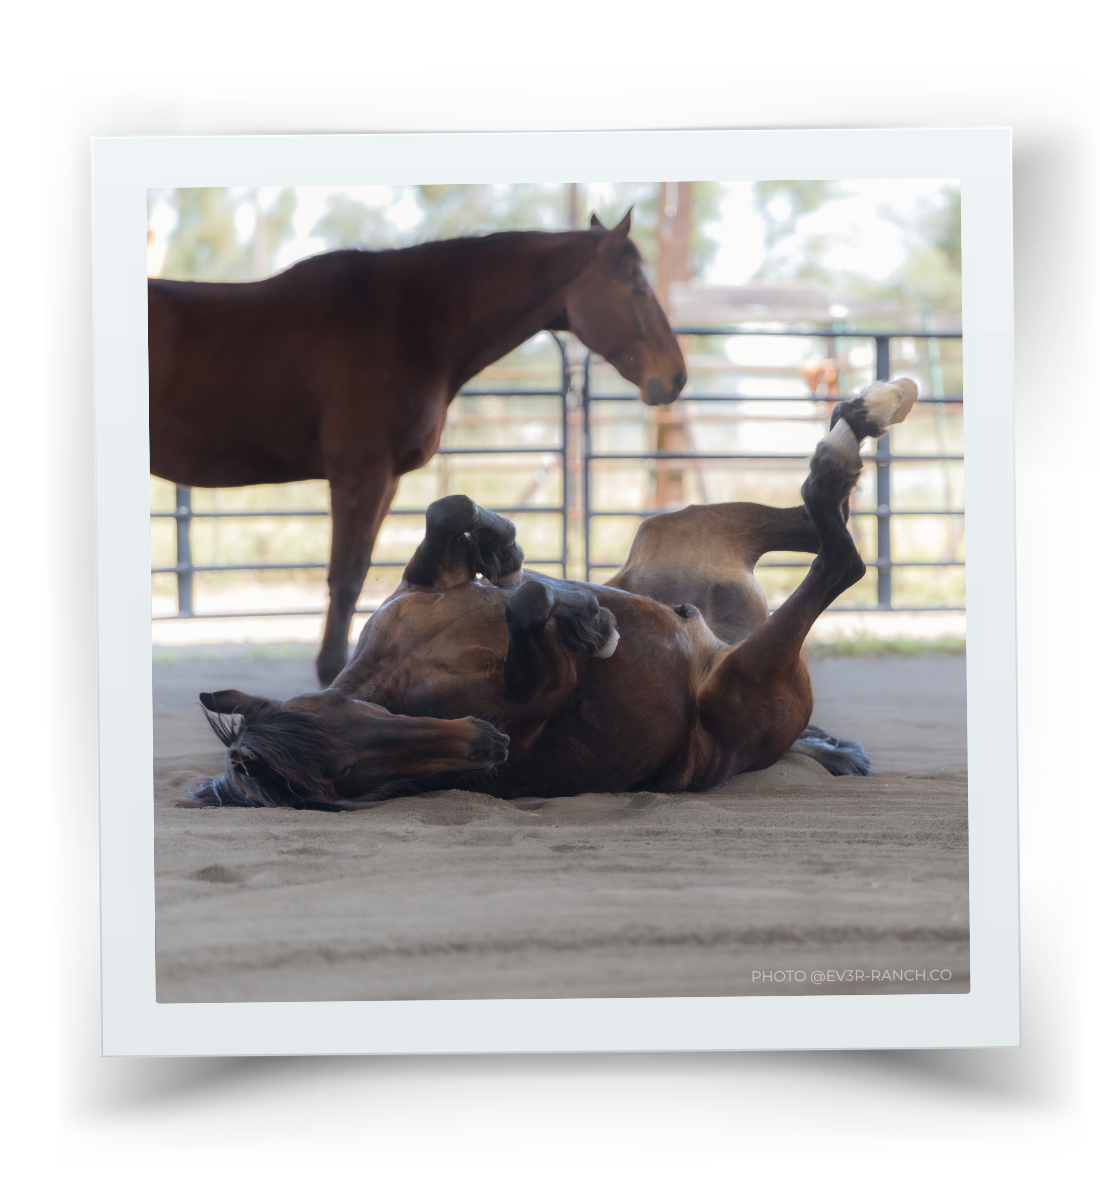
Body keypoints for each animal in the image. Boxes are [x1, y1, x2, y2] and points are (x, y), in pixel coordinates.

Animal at [149, 211, 687, 687]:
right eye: (638, 289)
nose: (676, 377)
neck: (406, 325)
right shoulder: (359, 475)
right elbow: (345, 580)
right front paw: (331, 673)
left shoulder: (384, 481)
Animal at [190, 378, 917, 810]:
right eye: (350, 780)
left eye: (353, 715)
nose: (487, 746)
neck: (399, 674)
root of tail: (719, 644)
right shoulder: (543, 691)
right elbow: (527, 608)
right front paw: (582, 620)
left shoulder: (420, 586)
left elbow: (451, 515)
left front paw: (508, 554)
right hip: (743, 678)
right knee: (839, 556)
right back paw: (841, 453)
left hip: (683, 530)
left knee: (817, 523)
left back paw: (861, 415)